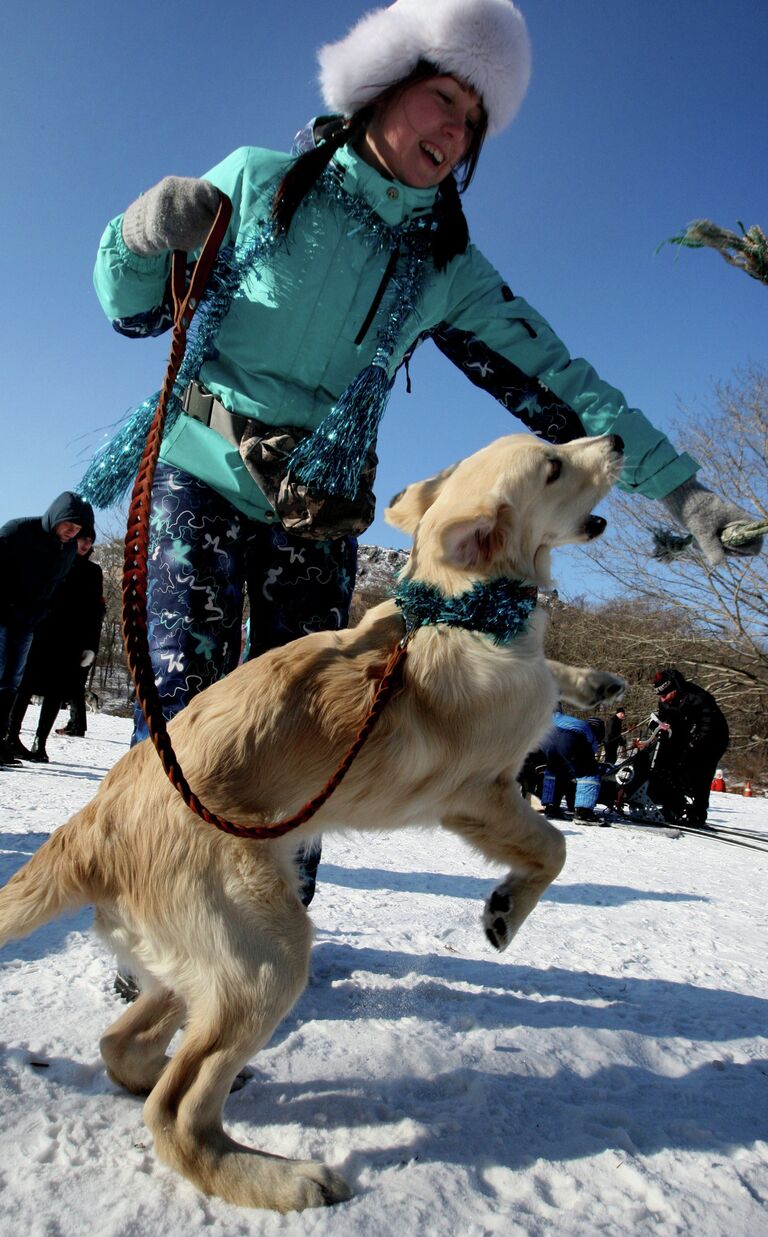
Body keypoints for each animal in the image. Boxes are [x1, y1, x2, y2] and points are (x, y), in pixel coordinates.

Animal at [0, 430, 623, 1212]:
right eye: (553, 466)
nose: (617, 437)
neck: (463, 609)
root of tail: (90, 829)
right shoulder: (480, 794)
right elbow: (555, 845)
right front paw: (505, 910)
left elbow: (553, 674)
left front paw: (593, 679)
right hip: (270, 956)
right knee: (174, 1113)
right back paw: (275, 1176)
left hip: (200, 965)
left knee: (126, 1049)